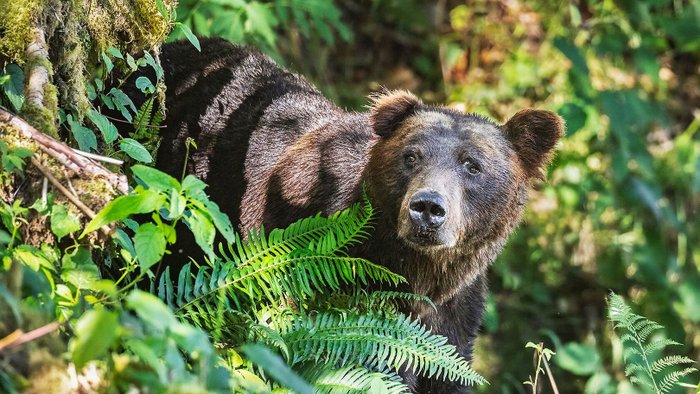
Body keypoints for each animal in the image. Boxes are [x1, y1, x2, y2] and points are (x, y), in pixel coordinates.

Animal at [148, 37, 564, 394]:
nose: (428, 208)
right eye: (411, 156)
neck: (417, 272)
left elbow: (450, 368)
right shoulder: (335, 283)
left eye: (472, 165)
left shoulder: (455, 313)